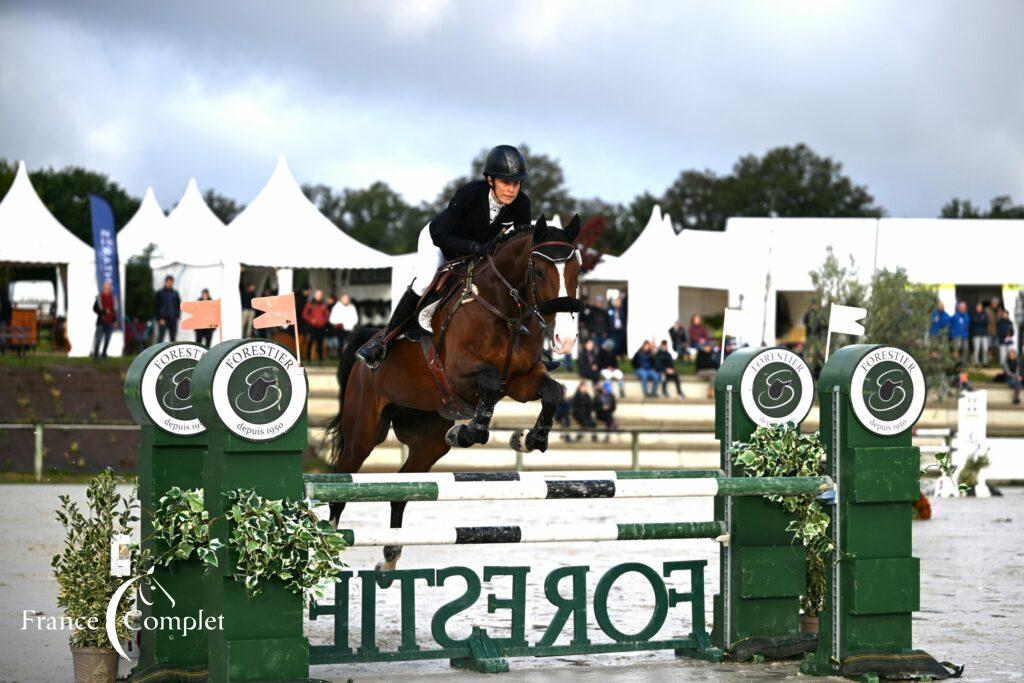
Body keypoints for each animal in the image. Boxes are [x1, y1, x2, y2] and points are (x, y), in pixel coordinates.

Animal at [327, 214, 585, 573]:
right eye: (540, 271)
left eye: (576, 270)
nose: (565, 340)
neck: (504, 310)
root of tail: (365, 344)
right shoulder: (458, 374)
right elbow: (489, 383)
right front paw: (471, 431)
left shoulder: (521, 381)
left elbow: (554, 391)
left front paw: (529, 438)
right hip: (363, 431)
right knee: (340, 482)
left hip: (427, 440)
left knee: (403, 487)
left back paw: (390, 557)